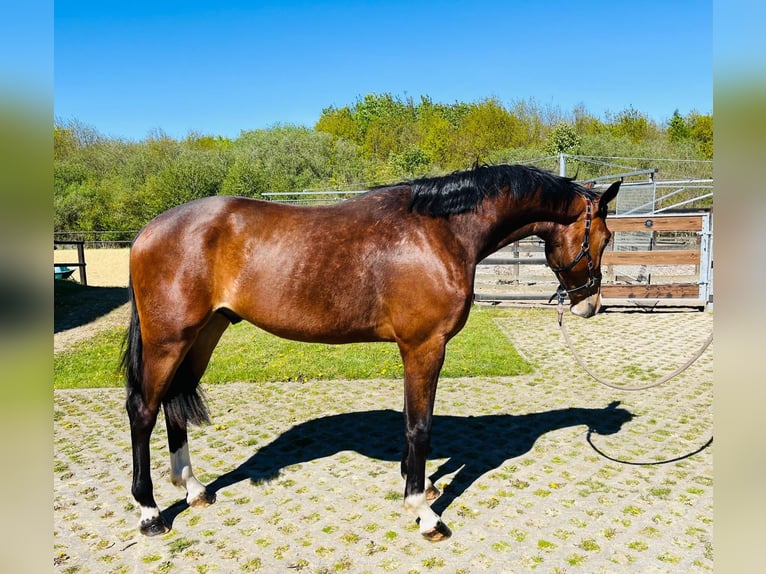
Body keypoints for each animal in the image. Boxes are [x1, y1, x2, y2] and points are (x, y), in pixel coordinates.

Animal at [121, 163, 620, 541]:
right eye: (603, 238)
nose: (590, 305)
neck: (441, 231)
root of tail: (147, 232)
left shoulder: (412, 349)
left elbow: (410, 422)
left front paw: (419, 485)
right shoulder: (425, 347)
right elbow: (420, 426)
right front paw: (423, 511)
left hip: (204, 333)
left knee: (174, 402)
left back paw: (193, 488)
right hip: (169, 339)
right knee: (143, 409)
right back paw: (150, 512)